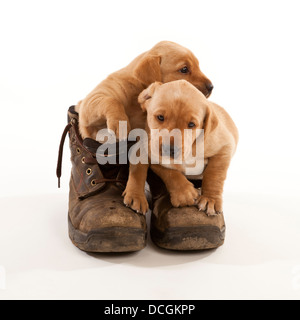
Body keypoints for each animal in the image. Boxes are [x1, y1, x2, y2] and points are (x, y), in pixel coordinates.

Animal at [75, 40, 213, 140]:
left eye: (198, 66)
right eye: (184, 69)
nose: (211, 87)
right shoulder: (90, 103)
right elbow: (111, 101)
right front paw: (120, 123)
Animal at [123, 80, 238, 215]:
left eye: (191, 124)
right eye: (160, 117)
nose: (169, 149)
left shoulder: (224, 146)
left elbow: (215, 174)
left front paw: (210, 199)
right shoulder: (151, 153)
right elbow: (169, 172)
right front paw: (184, 193)